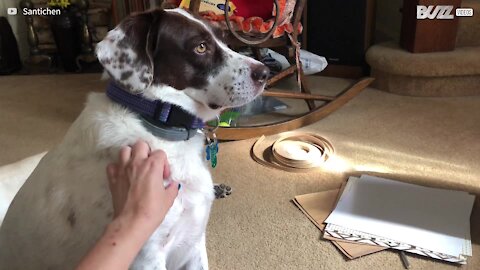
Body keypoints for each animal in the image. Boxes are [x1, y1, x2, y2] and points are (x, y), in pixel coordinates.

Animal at [0, 8, 268, 270]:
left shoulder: (193, 243)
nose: (265, 72)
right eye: (200, 47)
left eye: (223, 38)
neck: (159, 125)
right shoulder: (147, 255)